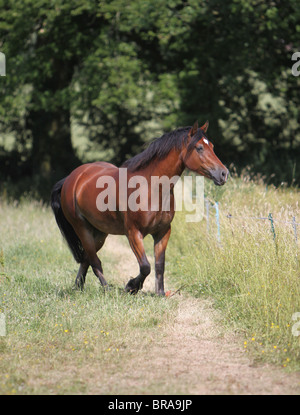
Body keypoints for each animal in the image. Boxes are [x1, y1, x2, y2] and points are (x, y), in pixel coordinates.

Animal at [51, 120, 227, 296]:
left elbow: (159, 265)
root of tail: (71, 179)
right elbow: (145, 266)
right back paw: (107, 290)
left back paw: (78, 287)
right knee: (95, 262)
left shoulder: (163, 232)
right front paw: (131, 287)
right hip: (82, 228)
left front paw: (160, 293)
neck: (151, 187)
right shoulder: (133, 233)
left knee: (87, 258)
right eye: (199, 147)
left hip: (100, 233)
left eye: (211, 145)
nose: (224, 173)